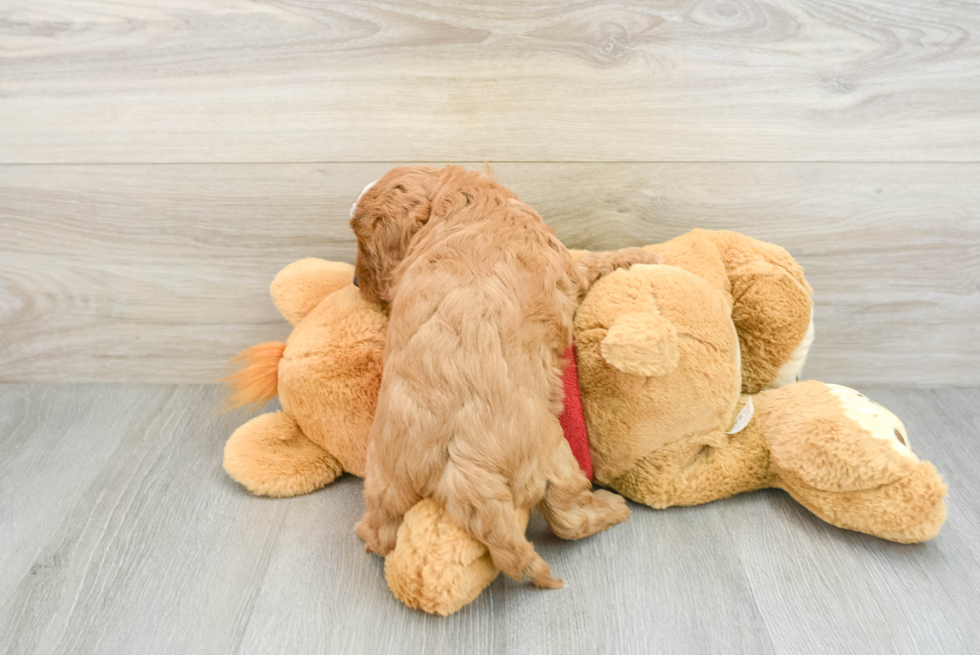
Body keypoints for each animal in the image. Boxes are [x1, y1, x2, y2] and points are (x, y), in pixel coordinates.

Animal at [348, 165, 664, 588]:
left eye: (363, 239)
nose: (355, 284)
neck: (457, 201)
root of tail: (462, 473)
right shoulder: (568, 268)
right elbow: (594, 261)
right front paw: (644, 254)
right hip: (552, 457)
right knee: (567, 517)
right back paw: (611, 508)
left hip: (385, 482)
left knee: (379, 531)